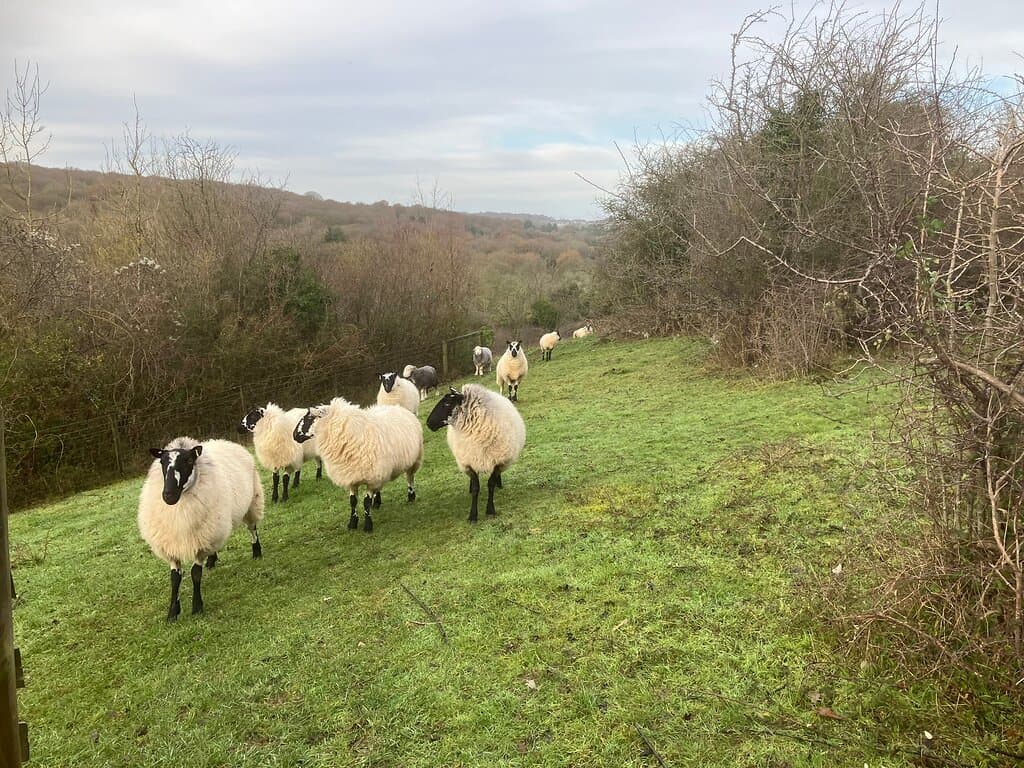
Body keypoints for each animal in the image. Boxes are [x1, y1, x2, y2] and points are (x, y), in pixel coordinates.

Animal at [138, 437, 264, 620]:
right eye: (162, 462)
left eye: (189, 461)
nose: (169, 495)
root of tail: (224, 441)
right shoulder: (172, 546)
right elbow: (174, 578)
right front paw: (172, 613)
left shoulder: (199, 544)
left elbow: (196, 573)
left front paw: (197, 607)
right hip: (211, 529)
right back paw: (211, 560)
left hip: (252, 501)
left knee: (252, 529)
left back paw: (257, 552)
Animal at [293, 398, 423, 533]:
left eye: (309, 418)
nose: (294, 435)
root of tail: (397, 407)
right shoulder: (351, 476)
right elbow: (353, 501)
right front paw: (352, 523)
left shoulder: (371, 477)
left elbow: (366, 502)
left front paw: (368, 525)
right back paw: (377, 503)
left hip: (414, 459)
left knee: (410, 478)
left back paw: (411, 496)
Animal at [427, 384, 526, 522]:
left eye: (447, 403)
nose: (428, 423)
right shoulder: (469, 462)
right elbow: (475, 488)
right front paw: (473, 515)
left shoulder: (497, 461)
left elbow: (490, 484)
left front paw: (490, 510)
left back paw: (498, 484)